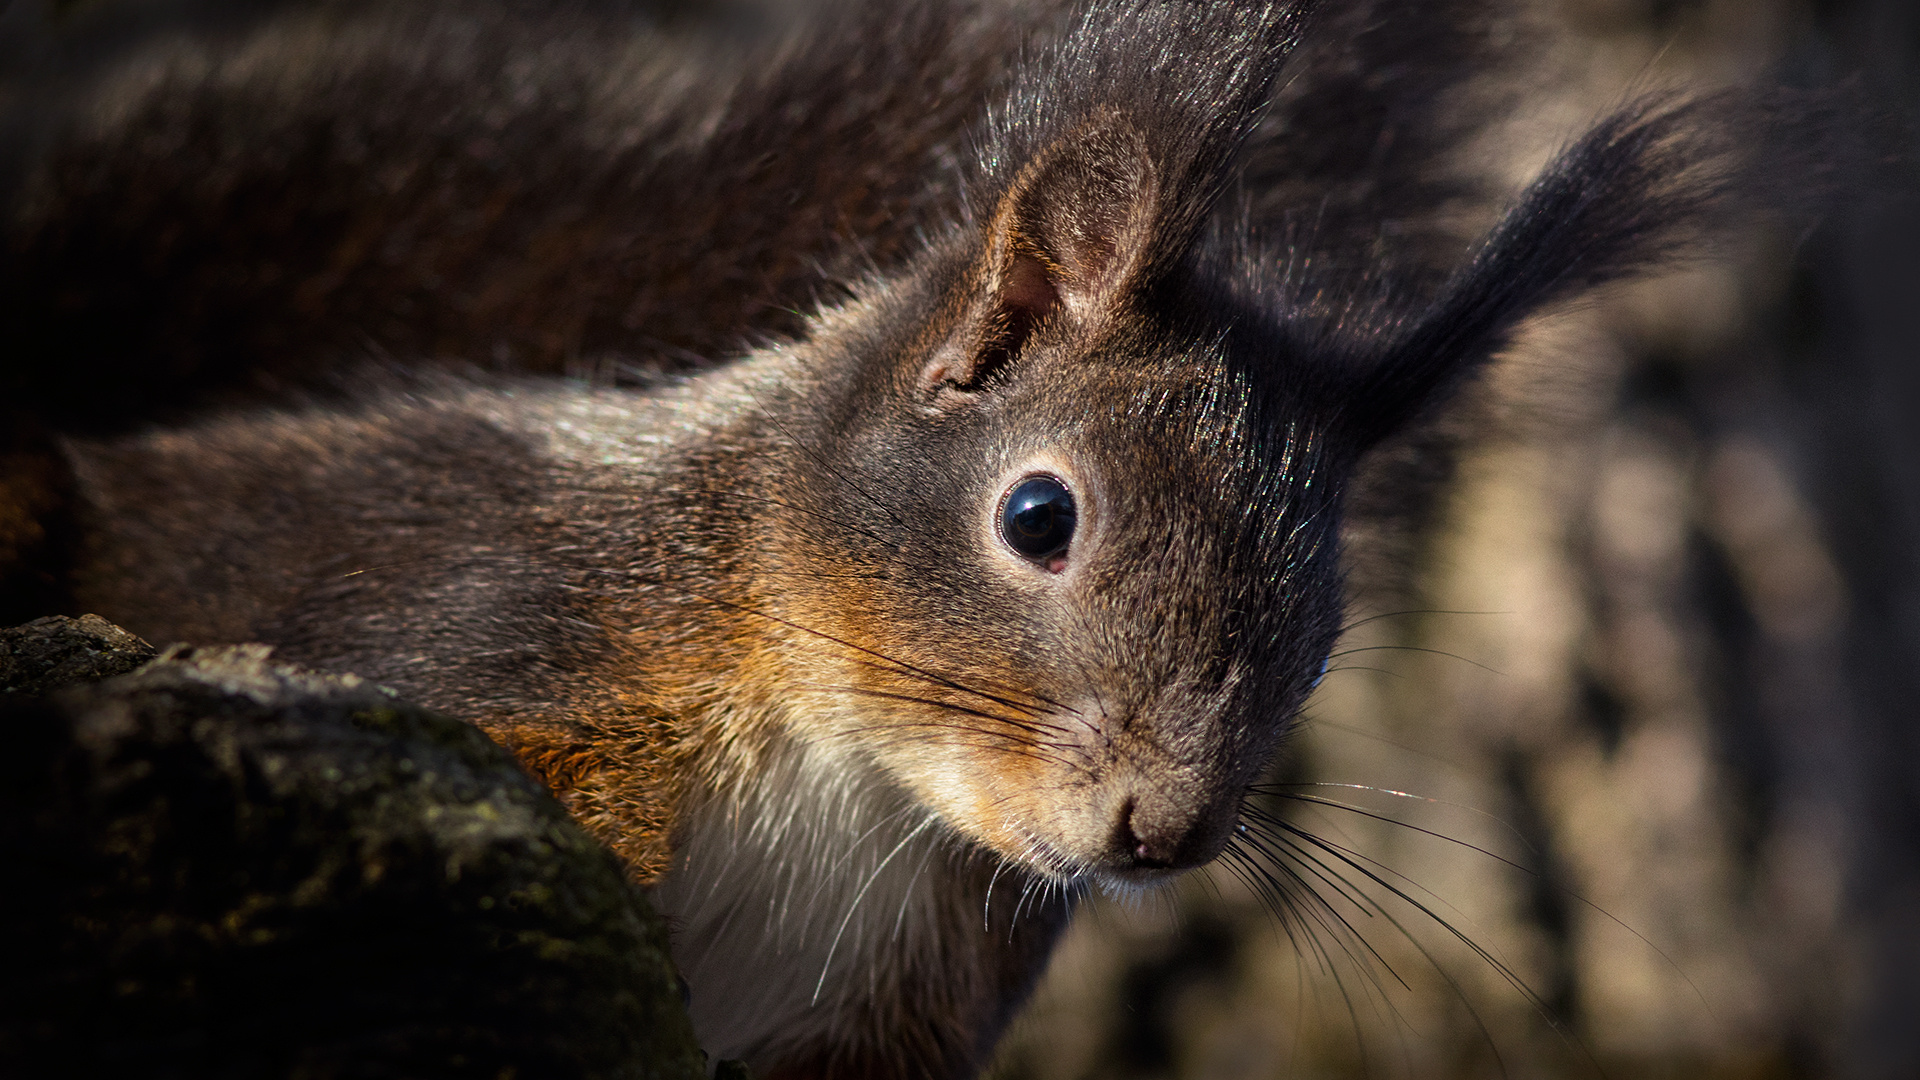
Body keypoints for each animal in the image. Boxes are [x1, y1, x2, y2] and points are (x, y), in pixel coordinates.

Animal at [0, 0, 1804, 1068]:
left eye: (1331, 627)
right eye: (1038, 515)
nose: (1162, 833)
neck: (853, 774)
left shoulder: (911, 1005)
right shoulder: (498, 641)